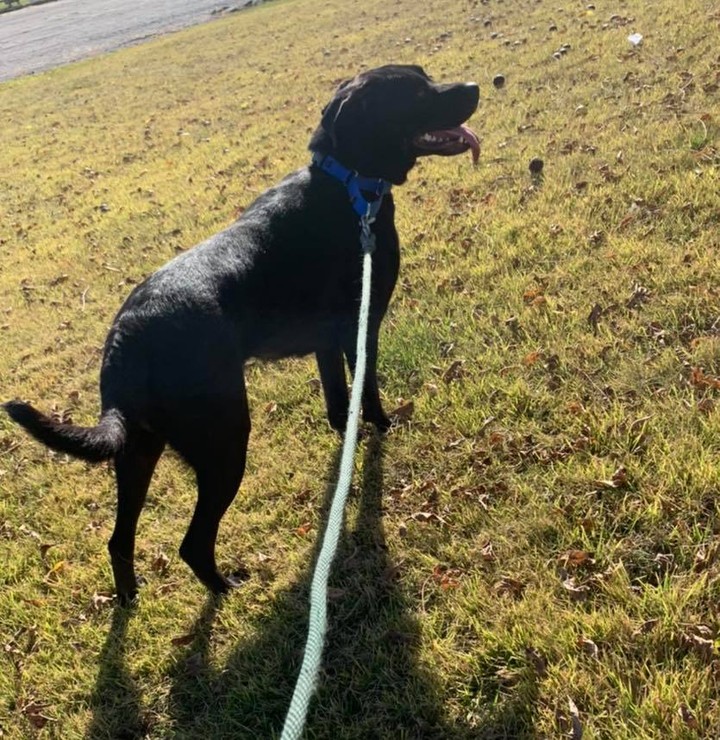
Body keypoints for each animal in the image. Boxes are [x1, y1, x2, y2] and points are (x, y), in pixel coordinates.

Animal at [7, 65, 478, 600]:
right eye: (413, 91)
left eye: (426, 77)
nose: (476, 88)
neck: (347, 185)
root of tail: (126, 338)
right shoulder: (360, 330)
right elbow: (368, 393)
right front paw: (381, 429)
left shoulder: (326, 343)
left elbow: (338, 404)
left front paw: (348, 444)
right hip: (224, 442)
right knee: (192, 543)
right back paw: (227, 588)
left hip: (136, 452)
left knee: (118, 540)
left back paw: (129, 597)